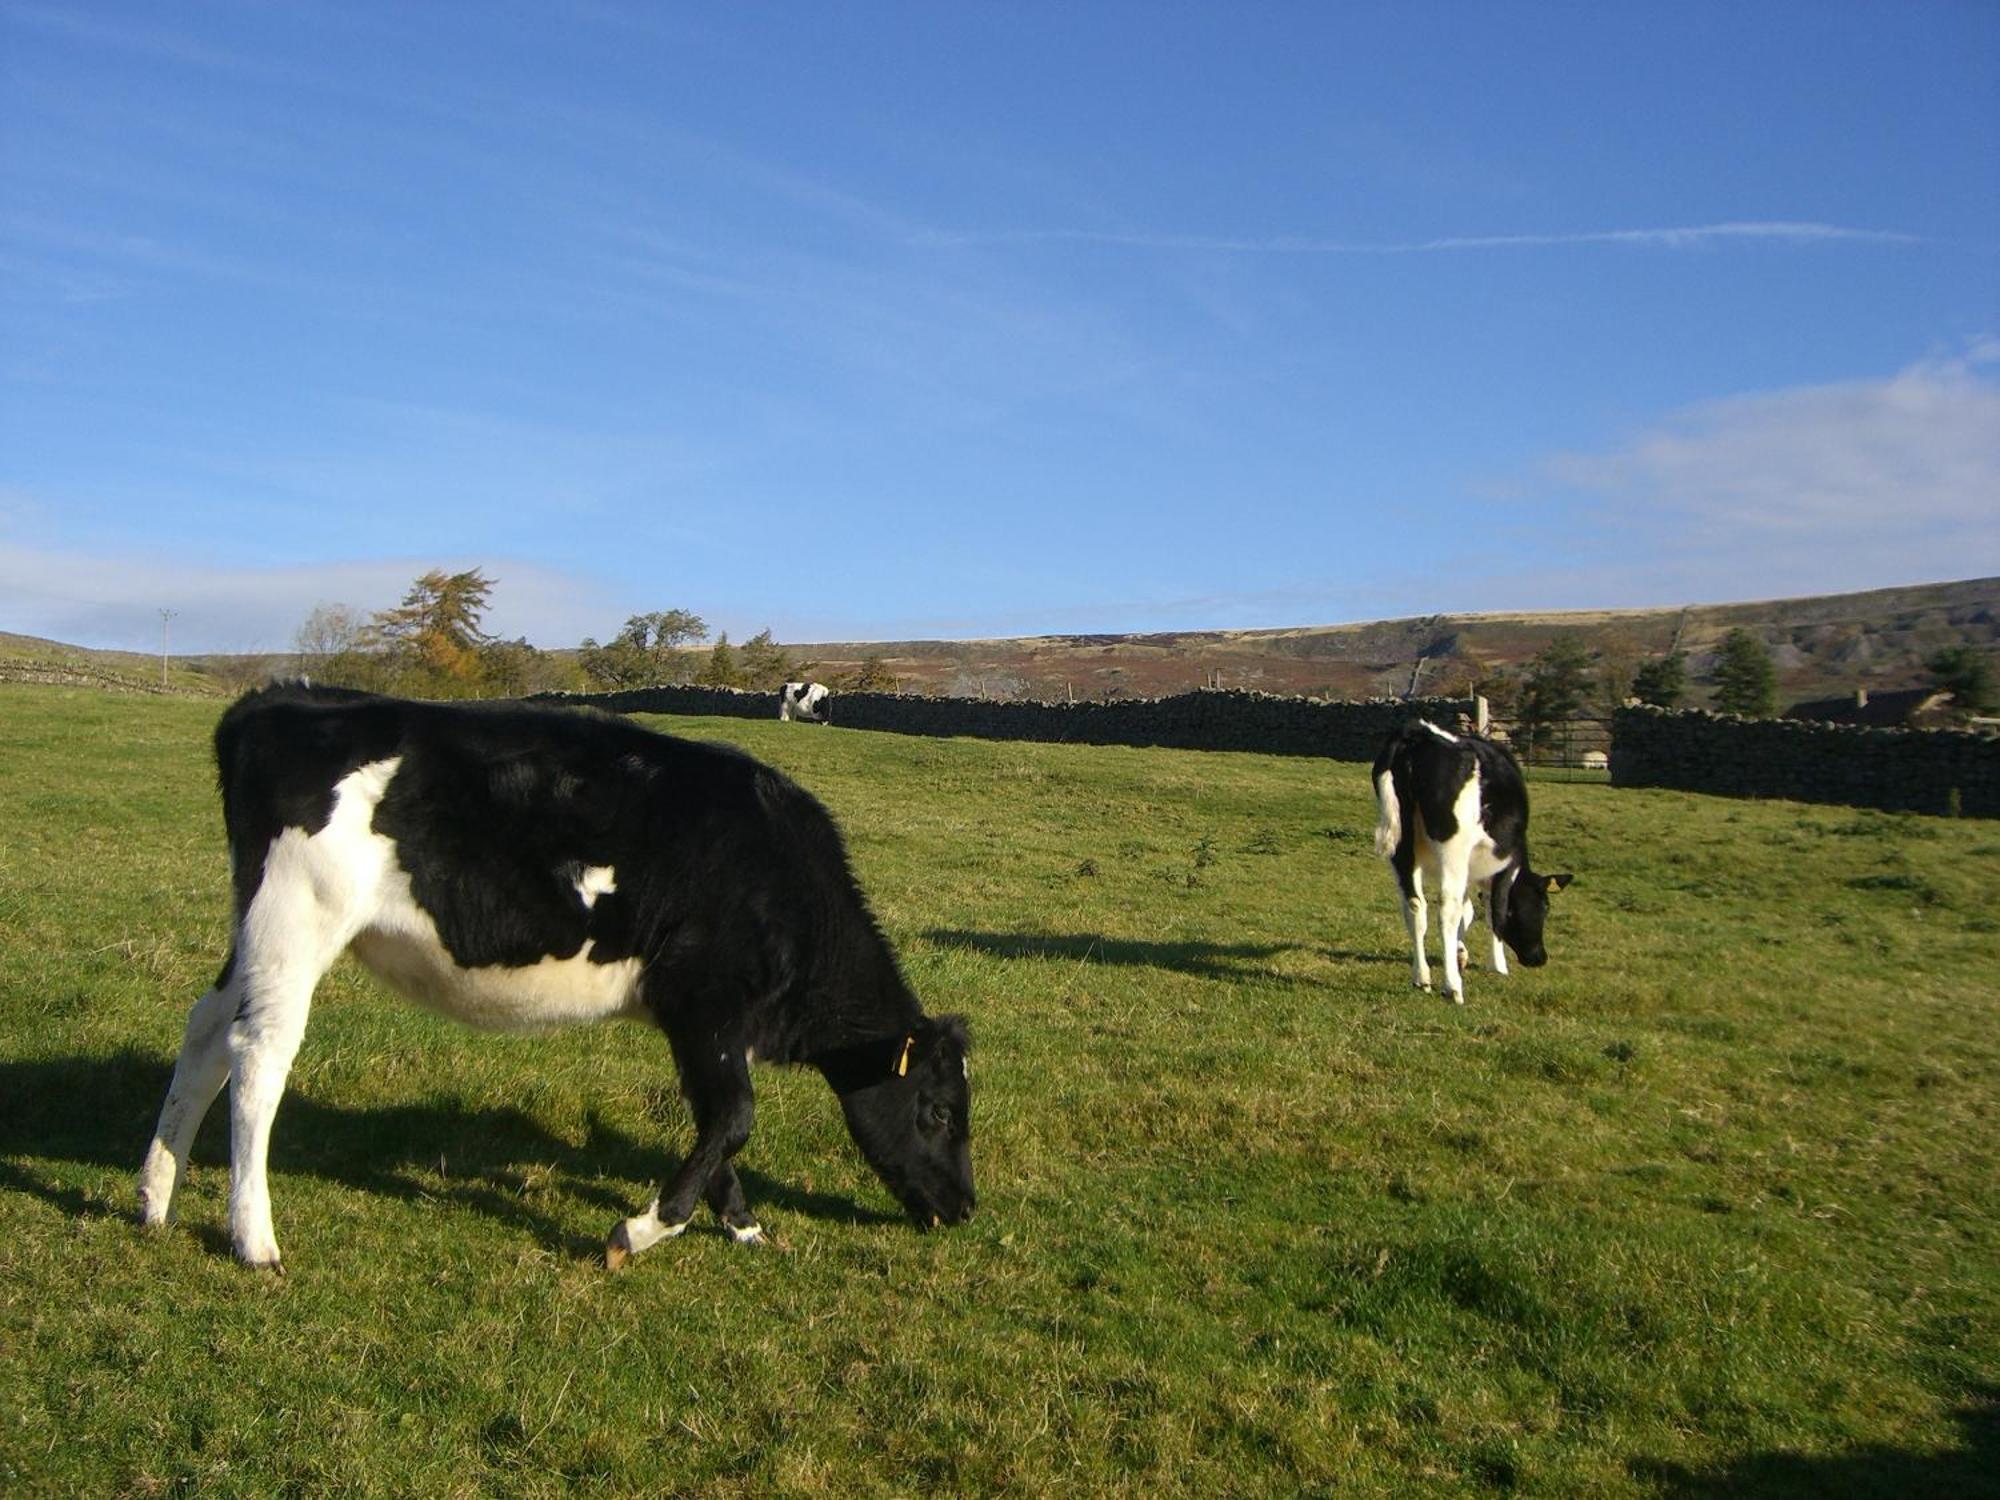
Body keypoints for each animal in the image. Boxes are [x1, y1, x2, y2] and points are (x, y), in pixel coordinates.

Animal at [137, 688, 972, 1272]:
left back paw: (154, 1196)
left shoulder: (699, 1022)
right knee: (258, 1057)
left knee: (205, 1033)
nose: (966, 1207)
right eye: (936, 1111)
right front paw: (641, 1230)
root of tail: (278, 699)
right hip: (296, 919)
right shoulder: (704, 1001)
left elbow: (716, 1122)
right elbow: (734, 1118)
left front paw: (743, 1225)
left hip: (254, 931)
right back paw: (253, 1239)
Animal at [1368, 720, 1568, 1004]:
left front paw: (1459, 953)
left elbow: (1468, 910)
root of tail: (1419, 733)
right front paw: (1498, 966)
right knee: (1446, 910)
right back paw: (1452, 987)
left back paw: (1422, 978)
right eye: (1545, 907)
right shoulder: (1506, 867)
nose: (1538, 958)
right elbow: (1495, 912)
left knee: (1415, 906)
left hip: (1401, 847)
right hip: (1452, 849)